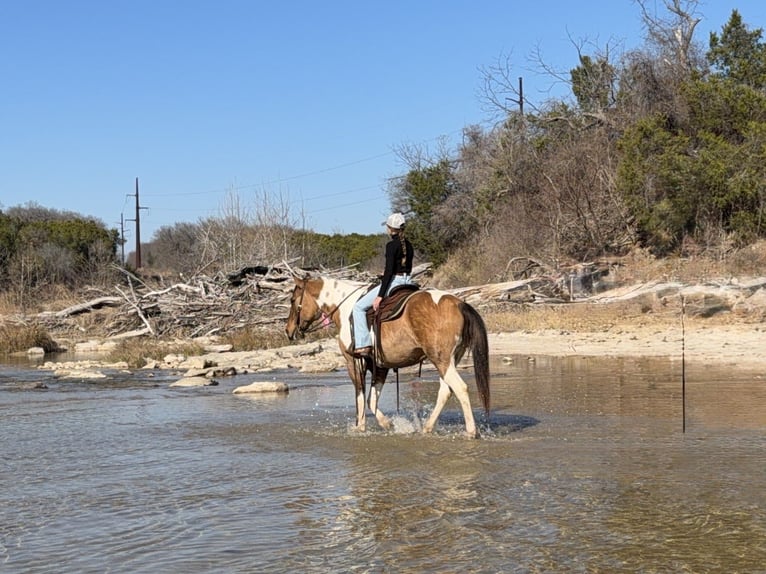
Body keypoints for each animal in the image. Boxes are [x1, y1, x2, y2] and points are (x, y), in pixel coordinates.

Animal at [284, 274, 491, 438]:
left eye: (293, 300)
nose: (288, 331)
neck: (346, 308)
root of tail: (459, 303)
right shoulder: (380, 365)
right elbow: (371, 399)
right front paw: (387, 424)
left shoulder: (353, 362)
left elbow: (360, 396)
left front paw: (361, 427)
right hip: (449, 360)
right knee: (446, 391)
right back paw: (427, 427)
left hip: (441, 360)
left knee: (460, 388)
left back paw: (471, 431)